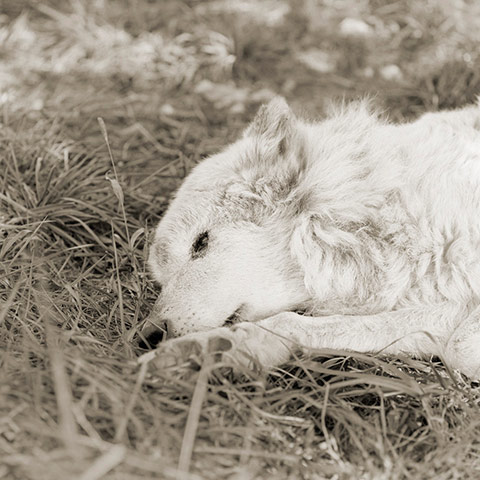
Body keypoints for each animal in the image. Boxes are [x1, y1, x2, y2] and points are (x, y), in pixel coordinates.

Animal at [142, 99, 480, 380]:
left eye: (200, 243)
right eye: (161, 279)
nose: (148, 334)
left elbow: (459, 346)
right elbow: (299, 323)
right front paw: (211, 350)